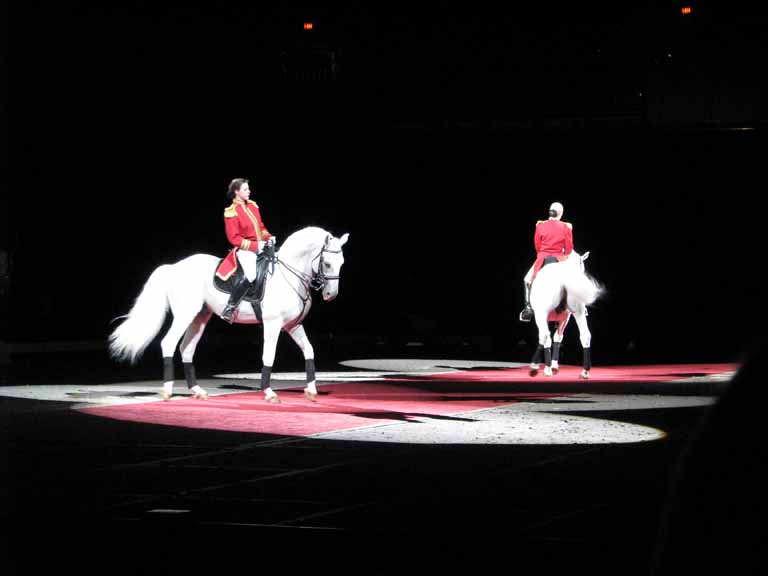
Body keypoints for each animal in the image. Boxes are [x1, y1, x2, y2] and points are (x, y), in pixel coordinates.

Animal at [108, 227, 348, 402]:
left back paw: (197, 390)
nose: (330, 295)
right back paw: (167, 390)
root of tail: (174, 267)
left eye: (342, 263)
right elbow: (268, 356)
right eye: (327, 263)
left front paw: (311, 390)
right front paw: (269, 392)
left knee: (187, 349)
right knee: (168, 343)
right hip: (185, 314)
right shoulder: (273, 324)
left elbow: (309, 350)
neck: (287, 275)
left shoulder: (292, 326)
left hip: (200, 317)